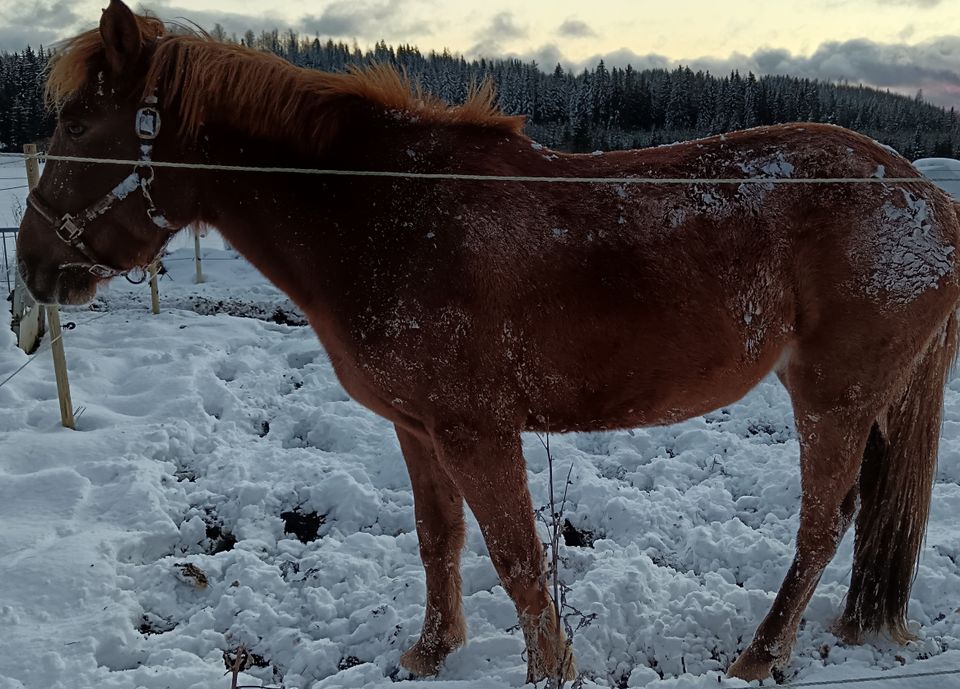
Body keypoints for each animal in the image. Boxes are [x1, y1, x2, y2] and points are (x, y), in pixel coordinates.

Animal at [13, 0, 960, 676]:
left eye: (79, 127)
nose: (32, 271)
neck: (383, 217)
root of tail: (926, 195)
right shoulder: (417, 425)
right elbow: (441, 539)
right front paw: (430, 651)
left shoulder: (477, 429)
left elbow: (516, 557)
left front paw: (551, 669)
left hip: (832, 399)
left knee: (823, 524)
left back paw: (758, 657)